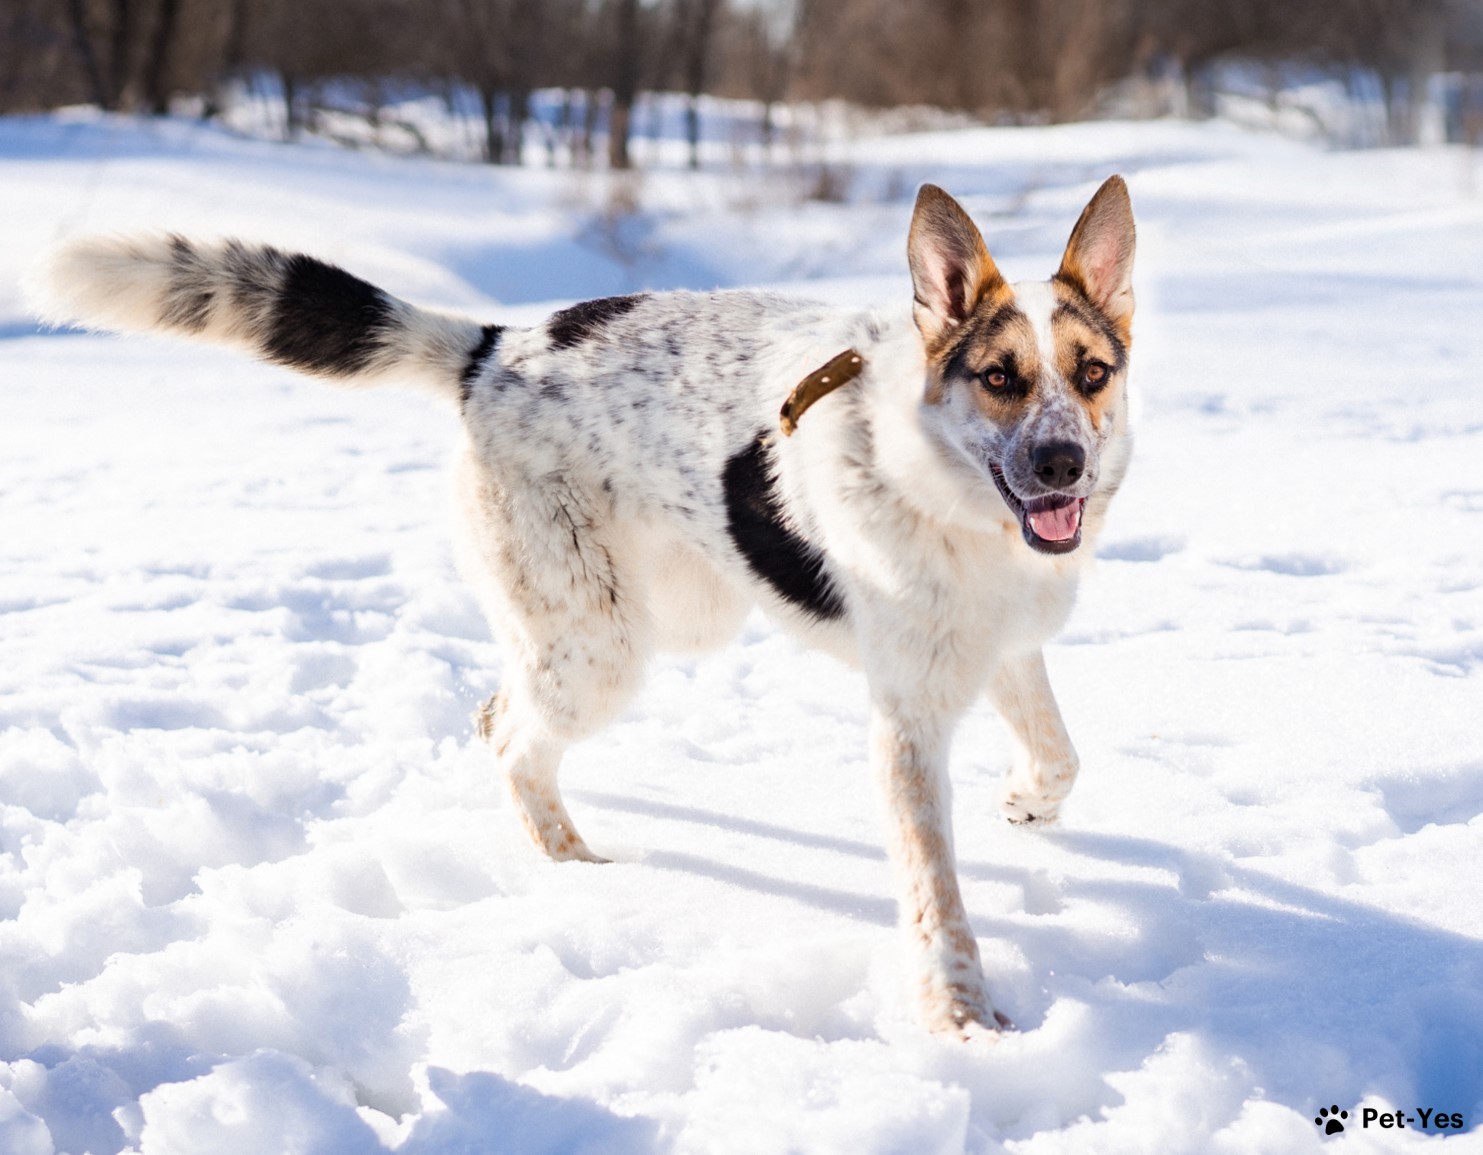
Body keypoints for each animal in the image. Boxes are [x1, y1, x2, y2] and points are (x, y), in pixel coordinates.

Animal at [37, 180, 1133, 1037]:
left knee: (493, 708)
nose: (1061, 464)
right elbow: (936, 897)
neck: (947, 487)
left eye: (1092, 375)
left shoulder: (1002, 644)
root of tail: (491, 348)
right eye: (997, 378)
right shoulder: (906, 719)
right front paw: (962, 1019)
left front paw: (1027, 805)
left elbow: (1063, 754)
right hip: (605, 646)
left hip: (655, 613)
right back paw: (579, 871)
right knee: (513, 738)